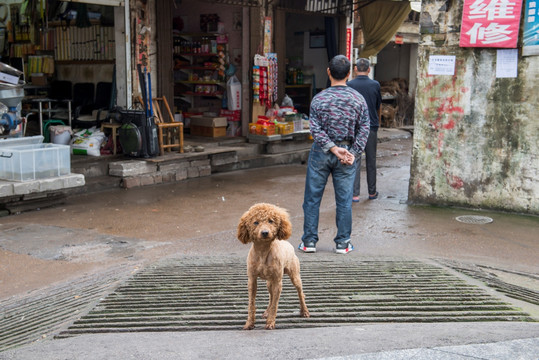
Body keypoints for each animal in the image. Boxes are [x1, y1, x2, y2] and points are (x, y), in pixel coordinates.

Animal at [237, 202, 310, 330]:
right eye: (255, 222)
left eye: (271, 221)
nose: (265, 232)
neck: (263, 251)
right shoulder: (252, 279)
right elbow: (252, 304)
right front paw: (249, 323)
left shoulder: (277, 281)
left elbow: (275, 304)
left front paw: (270, 322)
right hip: (269, 282)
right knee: (271, 296)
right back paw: (267, 312)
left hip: (294, 276)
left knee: (300, 293)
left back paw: (304, 311)